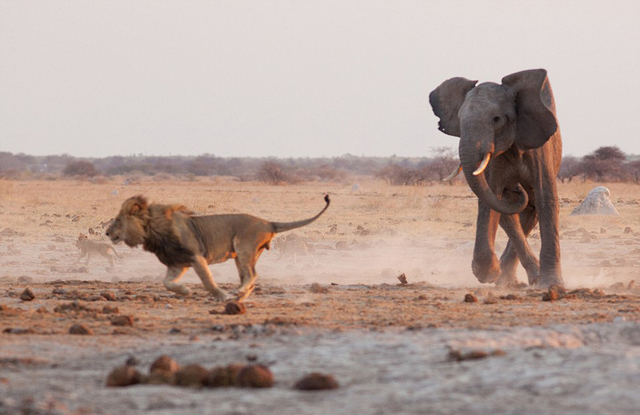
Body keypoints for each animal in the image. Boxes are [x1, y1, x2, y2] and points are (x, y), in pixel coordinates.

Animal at [105, 195, 330, 302]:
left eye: (117, 220)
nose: (106, 233)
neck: (152, 229)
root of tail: (268, 223)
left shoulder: (196, 257)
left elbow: (208, 281)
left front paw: (221, 296)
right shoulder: (177, 263)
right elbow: (166, 282)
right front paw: (185, 290)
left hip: (243, 248)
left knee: (252, 275)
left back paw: (237, 292)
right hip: (242, 255)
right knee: (250, 277)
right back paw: (240, 296)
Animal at [430, 69, 560, 290]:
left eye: (497, 119)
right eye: (459, 119)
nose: (516, 188)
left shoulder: (540, 149)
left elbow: (546, 198)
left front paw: (552, 285)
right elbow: (490, 198)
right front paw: (488, 274)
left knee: (530, 208)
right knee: (510, 213)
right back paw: (507, 280)